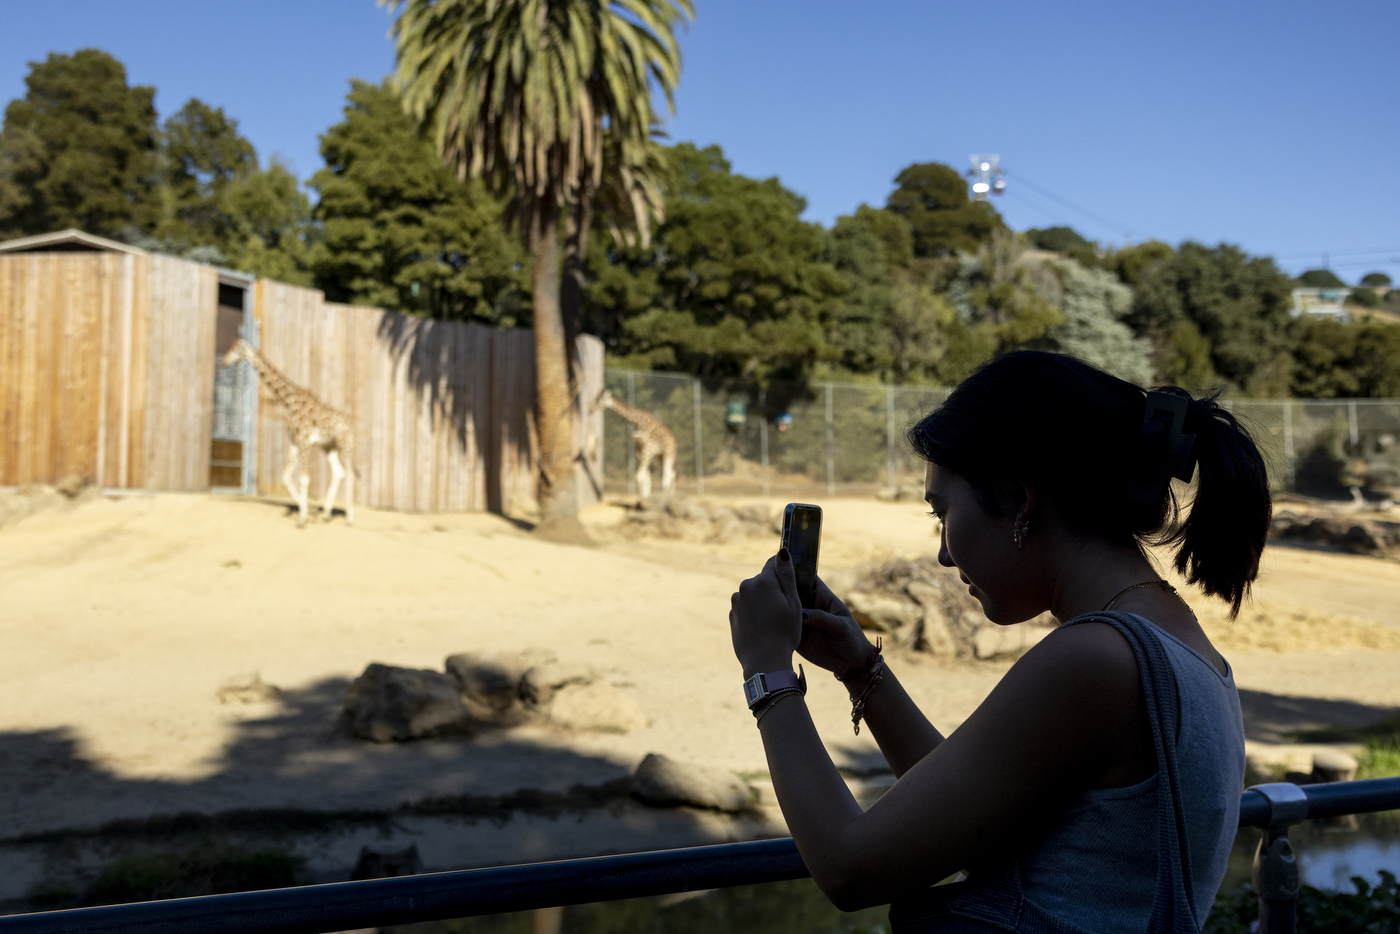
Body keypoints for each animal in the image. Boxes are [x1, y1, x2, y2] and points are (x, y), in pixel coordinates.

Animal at [222, 340, 355, 526]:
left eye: (237, 350)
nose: (224, 362)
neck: (290, 404)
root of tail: (350, 424)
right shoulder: (295, 442)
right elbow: (285, 477)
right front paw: (306, 512)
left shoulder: (305, 441)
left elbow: (304, 478)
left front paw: (302, 519)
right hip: (329, 446)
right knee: (339, 472)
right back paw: (326, 514)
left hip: (345, 444)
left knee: (350, 474)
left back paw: (349, 517)